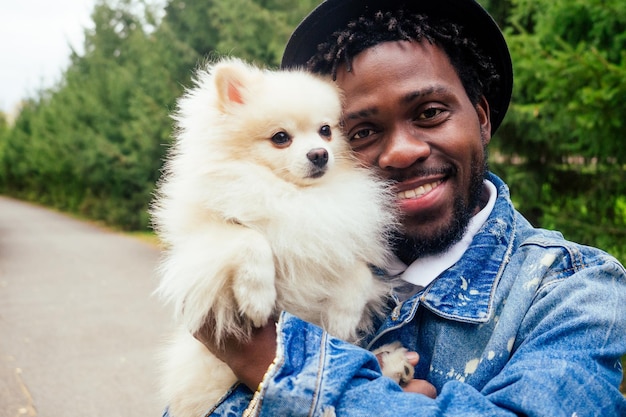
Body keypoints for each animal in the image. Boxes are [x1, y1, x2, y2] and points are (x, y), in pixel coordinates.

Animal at [152, 57, 414, 416]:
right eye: (280, 137)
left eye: (326, 131)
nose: (319, 154)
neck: (293, 195)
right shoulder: (201, 243)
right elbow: (249, 238)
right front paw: (257, 299)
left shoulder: (341, 241)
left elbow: (358, 274)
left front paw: (343, 319)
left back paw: (392, 363)